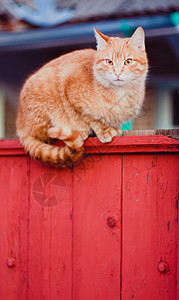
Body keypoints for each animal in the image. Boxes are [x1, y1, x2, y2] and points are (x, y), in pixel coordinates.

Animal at [16, 26, 148, 168]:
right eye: (109, 61)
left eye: (128, 61)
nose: (117, 74)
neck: (120, 94)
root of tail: (20, 124)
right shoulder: (70, 90)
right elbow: (90, 118)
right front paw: (104, 129)